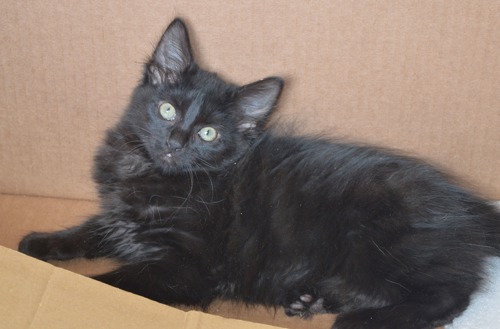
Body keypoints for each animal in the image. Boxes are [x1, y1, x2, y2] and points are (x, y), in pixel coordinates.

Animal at [19, 18, 500, 328]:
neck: (149, 173)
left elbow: (110, 283)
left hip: (378, 245)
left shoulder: (185, 266)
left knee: (449, 293)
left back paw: (360, 320)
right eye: (167, 109)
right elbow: (88, 231)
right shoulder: (119, 217)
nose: (175, 142)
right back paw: (308, 299)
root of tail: (464, 202)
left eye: (209, 133)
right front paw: (38, 244)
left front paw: (74, 288)